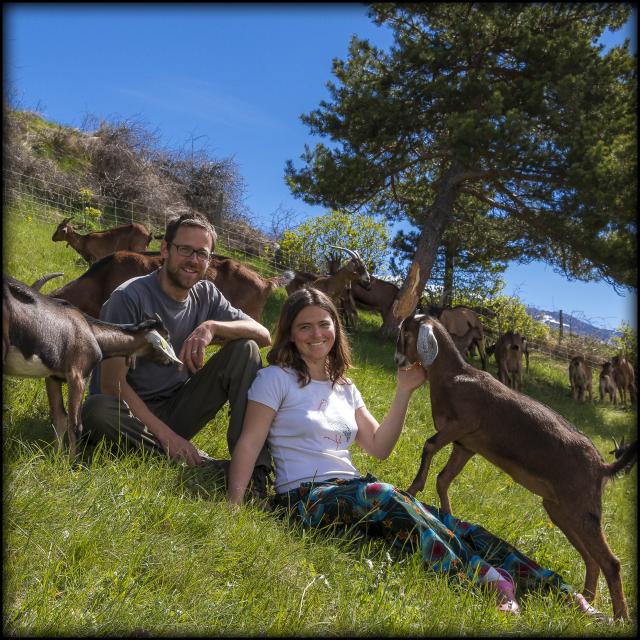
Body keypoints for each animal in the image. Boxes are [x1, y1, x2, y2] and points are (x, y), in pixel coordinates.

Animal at [392, 312, 636, 624]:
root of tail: (603, 466)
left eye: (406, 332)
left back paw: (620, 618)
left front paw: (412, 488)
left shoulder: (462, 425)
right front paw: (448, 518)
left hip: (584, 510)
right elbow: (444, 478)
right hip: (560, 510)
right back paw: (586, 603)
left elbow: (429, 446)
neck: (454, 375)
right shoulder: (466, 445)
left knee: (612, 562)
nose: (397, 359)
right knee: (592, 558)